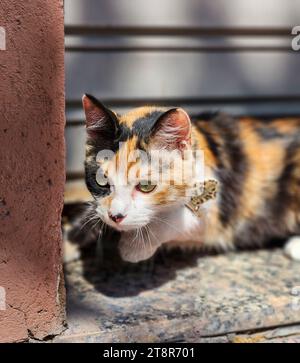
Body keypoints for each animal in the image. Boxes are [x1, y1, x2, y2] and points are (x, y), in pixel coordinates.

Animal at [82, 94, 300, 264]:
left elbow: (177, 220)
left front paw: (134, 247)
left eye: (145, 186)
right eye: (101, 181)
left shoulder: (220, 208)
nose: (115, 216)